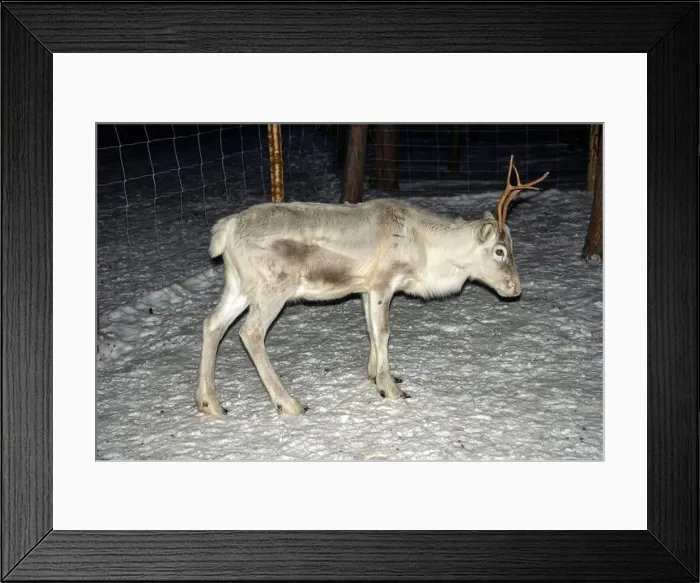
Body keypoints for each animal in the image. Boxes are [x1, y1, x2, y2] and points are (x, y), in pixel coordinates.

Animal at [195, 155, 549, 416]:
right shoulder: (382, 282)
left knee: (212, 323)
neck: (427, 250)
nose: (515, 289)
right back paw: (290, 403)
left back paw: (209, 403)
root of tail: (225, 230)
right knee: (250, 333)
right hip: (273, 288)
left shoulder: (365, 288)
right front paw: (391, 388)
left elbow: (370, 328)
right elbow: (384, 331)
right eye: (500, 251)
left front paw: (375, 374)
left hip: (239, 285)